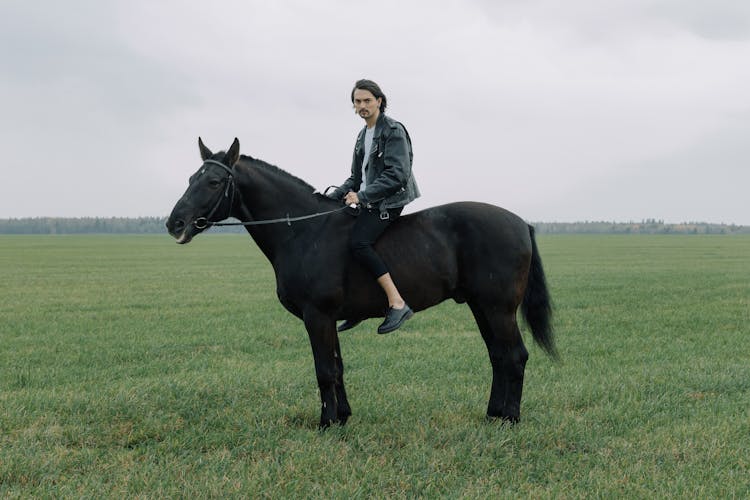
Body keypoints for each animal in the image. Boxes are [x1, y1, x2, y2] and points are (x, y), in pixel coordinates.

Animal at [167, 139, 556, 428]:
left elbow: (324, 370)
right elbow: (337, 368)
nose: (175, 223)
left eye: (214, 182)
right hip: (481, 307)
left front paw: (325, 423)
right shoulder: (327, 319)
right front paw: (342, 417)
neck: (304, 231)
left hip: (498, 309)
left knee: (514, 356)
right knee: (498, 357)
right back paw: (493, 415)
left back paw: (510, 419)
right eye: (189, 179)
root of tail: (522, 223)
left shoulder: (317, 316)